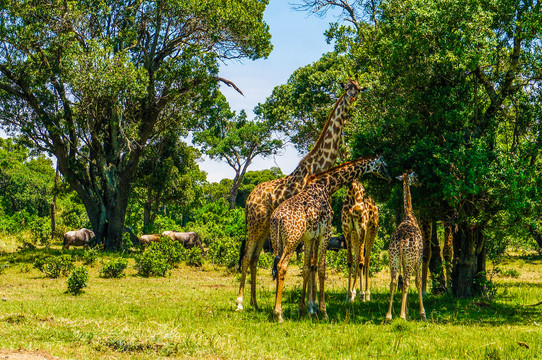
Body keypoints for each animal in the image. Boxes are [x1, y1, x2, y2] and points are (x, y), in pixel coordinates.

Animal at [238, 80, 366, 310]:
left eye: (358, 88)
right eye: (347, 88)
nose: (353, 97)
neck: (318, 167)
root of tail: (248, 199)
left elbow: (312, 264)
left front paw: (311, 304)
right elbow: (310, 264)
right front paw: (310, 304)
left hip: (264, 228)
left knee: (253, 258)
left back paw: (255, 303)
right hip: (255, 223)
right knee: (246, 256)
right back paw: (240, 302)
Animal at [270, 156, 392, 322]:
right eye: (384, 164)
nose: (391, 177)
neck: (327, 186)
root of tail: (277, 218)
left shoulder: (309, 237)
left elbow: (308, 268)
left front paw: (304, 309)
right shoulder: (325, 233)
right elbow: (321, 268)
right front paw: (323, 311)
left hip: (279, 242)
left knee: (277, 266)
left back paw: (278, 311)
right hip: (292, 240)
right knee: (282, 266)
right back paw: (278, 314)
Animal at [384, 171, 428, 320]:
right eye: (415, 176)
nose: (420, 182)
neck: (409, 214)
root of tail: (401, 241)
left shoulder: (403, 260)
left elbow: (402, 282)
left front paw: (407, 309)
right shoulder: (418, 258)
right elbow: (418, 282)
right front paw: (422, 313)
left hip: (394, 258)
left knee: (393, 282)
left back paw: (389, 315)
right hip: (409, 259)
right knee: (408, 281)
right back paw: (402, 316)